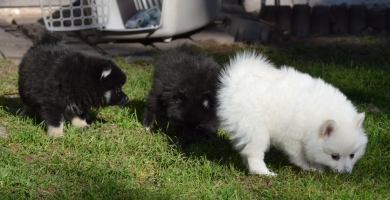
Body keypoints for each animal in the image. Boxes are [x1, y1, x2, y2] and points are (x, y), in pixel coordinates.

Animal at [218, 52, 368, 177]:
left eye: (352, 155)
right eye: (334, 156)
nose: (346, 173)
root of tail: (236, 84)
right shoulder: (293, 139)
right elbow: (300, 156)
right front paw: (312, 168)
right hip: (257, 131)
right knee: (253, 153)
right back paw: (265, 173)